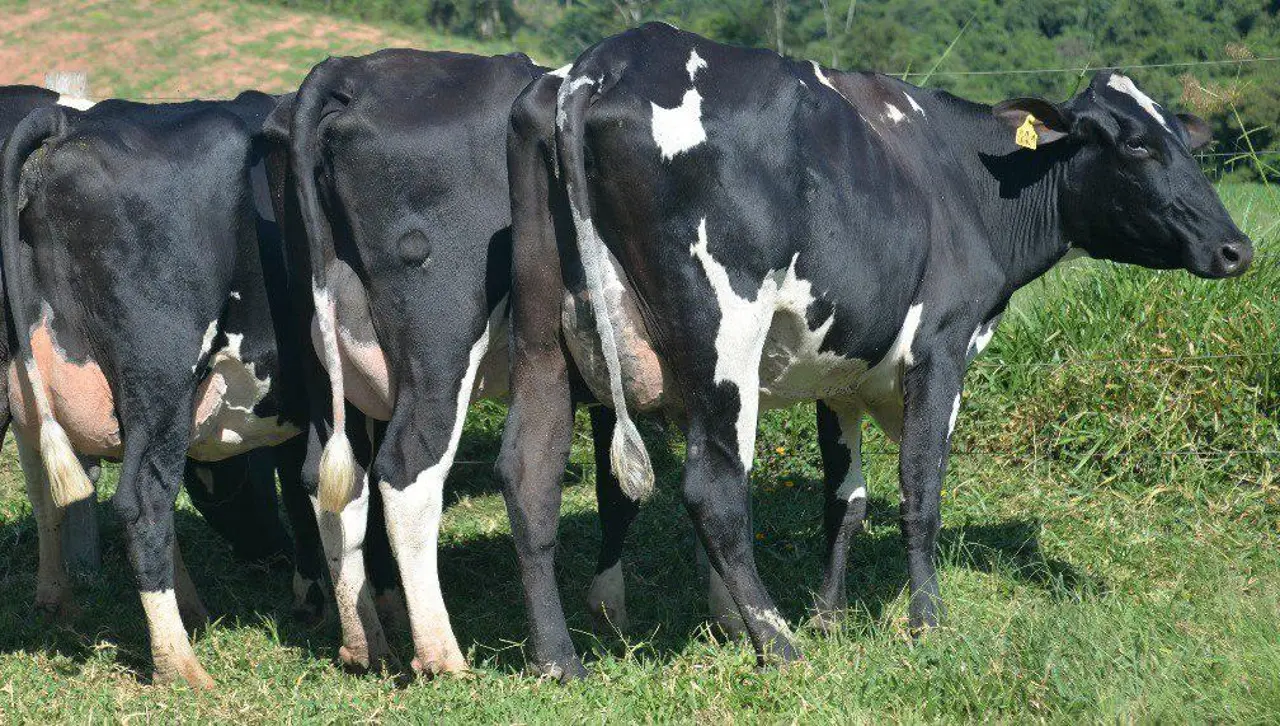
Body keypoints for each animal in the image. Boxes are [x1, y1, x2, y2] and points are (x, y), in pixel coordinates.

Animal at [1, 90, 330, 686]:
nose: (266, 554)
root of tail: (70, 120)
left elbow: (300, 490)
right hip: (161, 378)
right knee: (144, 503)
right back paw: (180, 664)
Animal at [496, 22, 1249, 681]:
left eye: (1184, 142)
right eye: (1137, 147)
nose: (1236, 248)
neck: (966, 182)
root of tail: (604, 62)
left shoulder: (841, 372)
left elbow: (847, 499)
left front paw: (830, 615)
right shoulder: (940, 348)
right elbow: (922, 491)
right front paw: (926, 621)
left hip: (540, 343)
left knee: (529, 476)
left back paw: (561, 662)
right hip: (723, 338)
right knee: (714, 490)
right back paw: (779, 645)